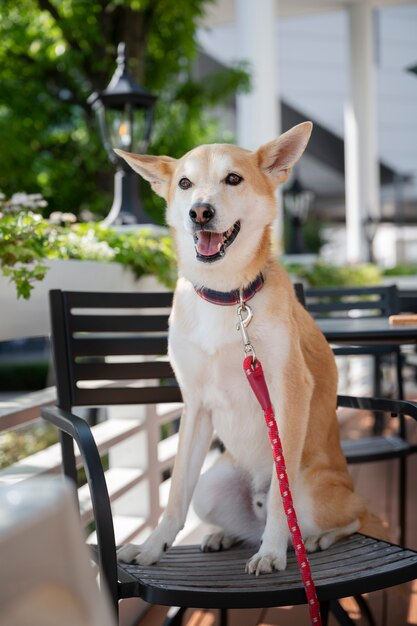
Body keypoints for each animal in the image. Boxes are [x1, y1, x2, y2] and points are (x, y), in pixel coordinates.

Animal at [115, 123, 386, 576]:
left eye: (233, 179)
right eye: (185, 183)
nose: (200, 212)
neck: (228, 297)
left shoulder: (289, 395)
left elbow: (281, 498)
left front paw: (273, 551)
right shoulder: (195, 404)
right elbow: (175, 495)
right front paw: (153, 547)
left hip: (314, 489)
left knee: (349, 516)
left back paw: (312, 539)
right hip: (212, 484)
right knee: (239, 519)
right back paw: (225, 535)